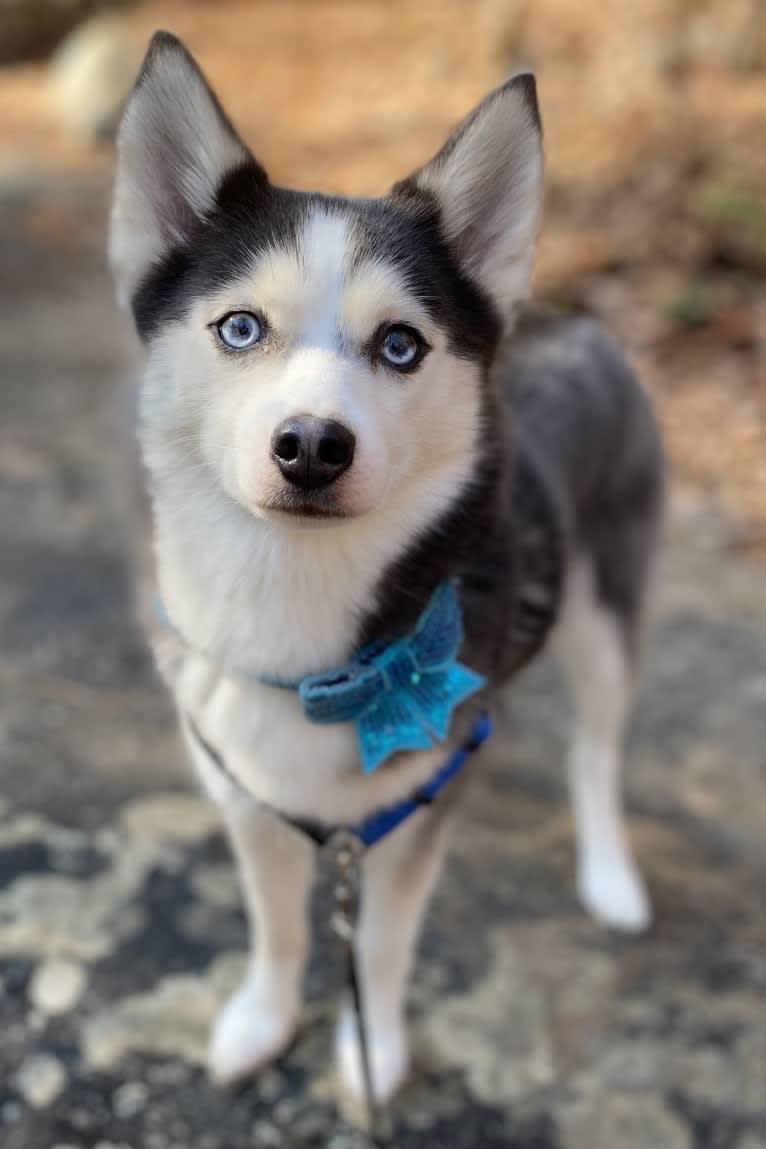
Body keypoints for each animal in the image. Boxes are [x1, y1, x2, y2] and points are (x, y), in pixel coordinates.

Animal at [109, 35, 666, 1107]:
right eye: (241, 328)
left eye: (401, 343)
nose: (312, 445)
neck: (298, 617)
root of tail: (573, 318)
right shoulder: (250, 800)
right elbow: (279, 928)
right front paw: (264, 1022)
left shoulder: (411, 820)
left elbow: (379, 944)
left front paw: (374, 1057)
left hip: (608, 615)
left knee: (596, 748)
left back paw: (611, 875)